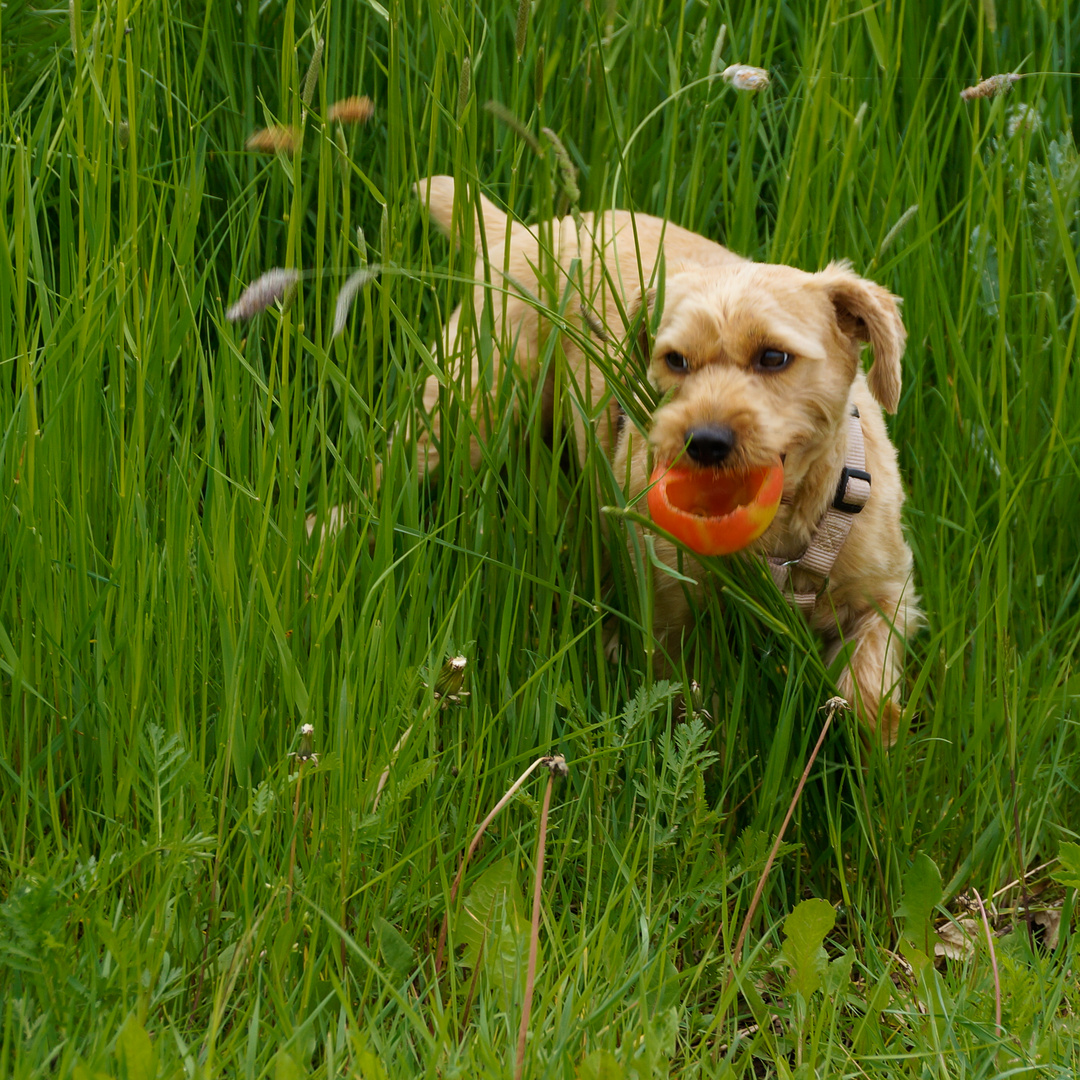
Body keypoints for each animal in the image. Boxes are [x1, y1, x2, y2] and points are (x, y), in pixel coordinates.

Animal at [410, 174, 920, 743]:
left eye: (774, 356)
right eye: (675, 360)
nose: (705, 441)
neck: (781, 528)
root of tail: (521, 231)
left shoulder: (887, 595)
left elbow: (870, 690)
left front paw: (875, 746)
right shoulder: (672, 617)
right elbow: (693, 709)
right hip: (460, 413)